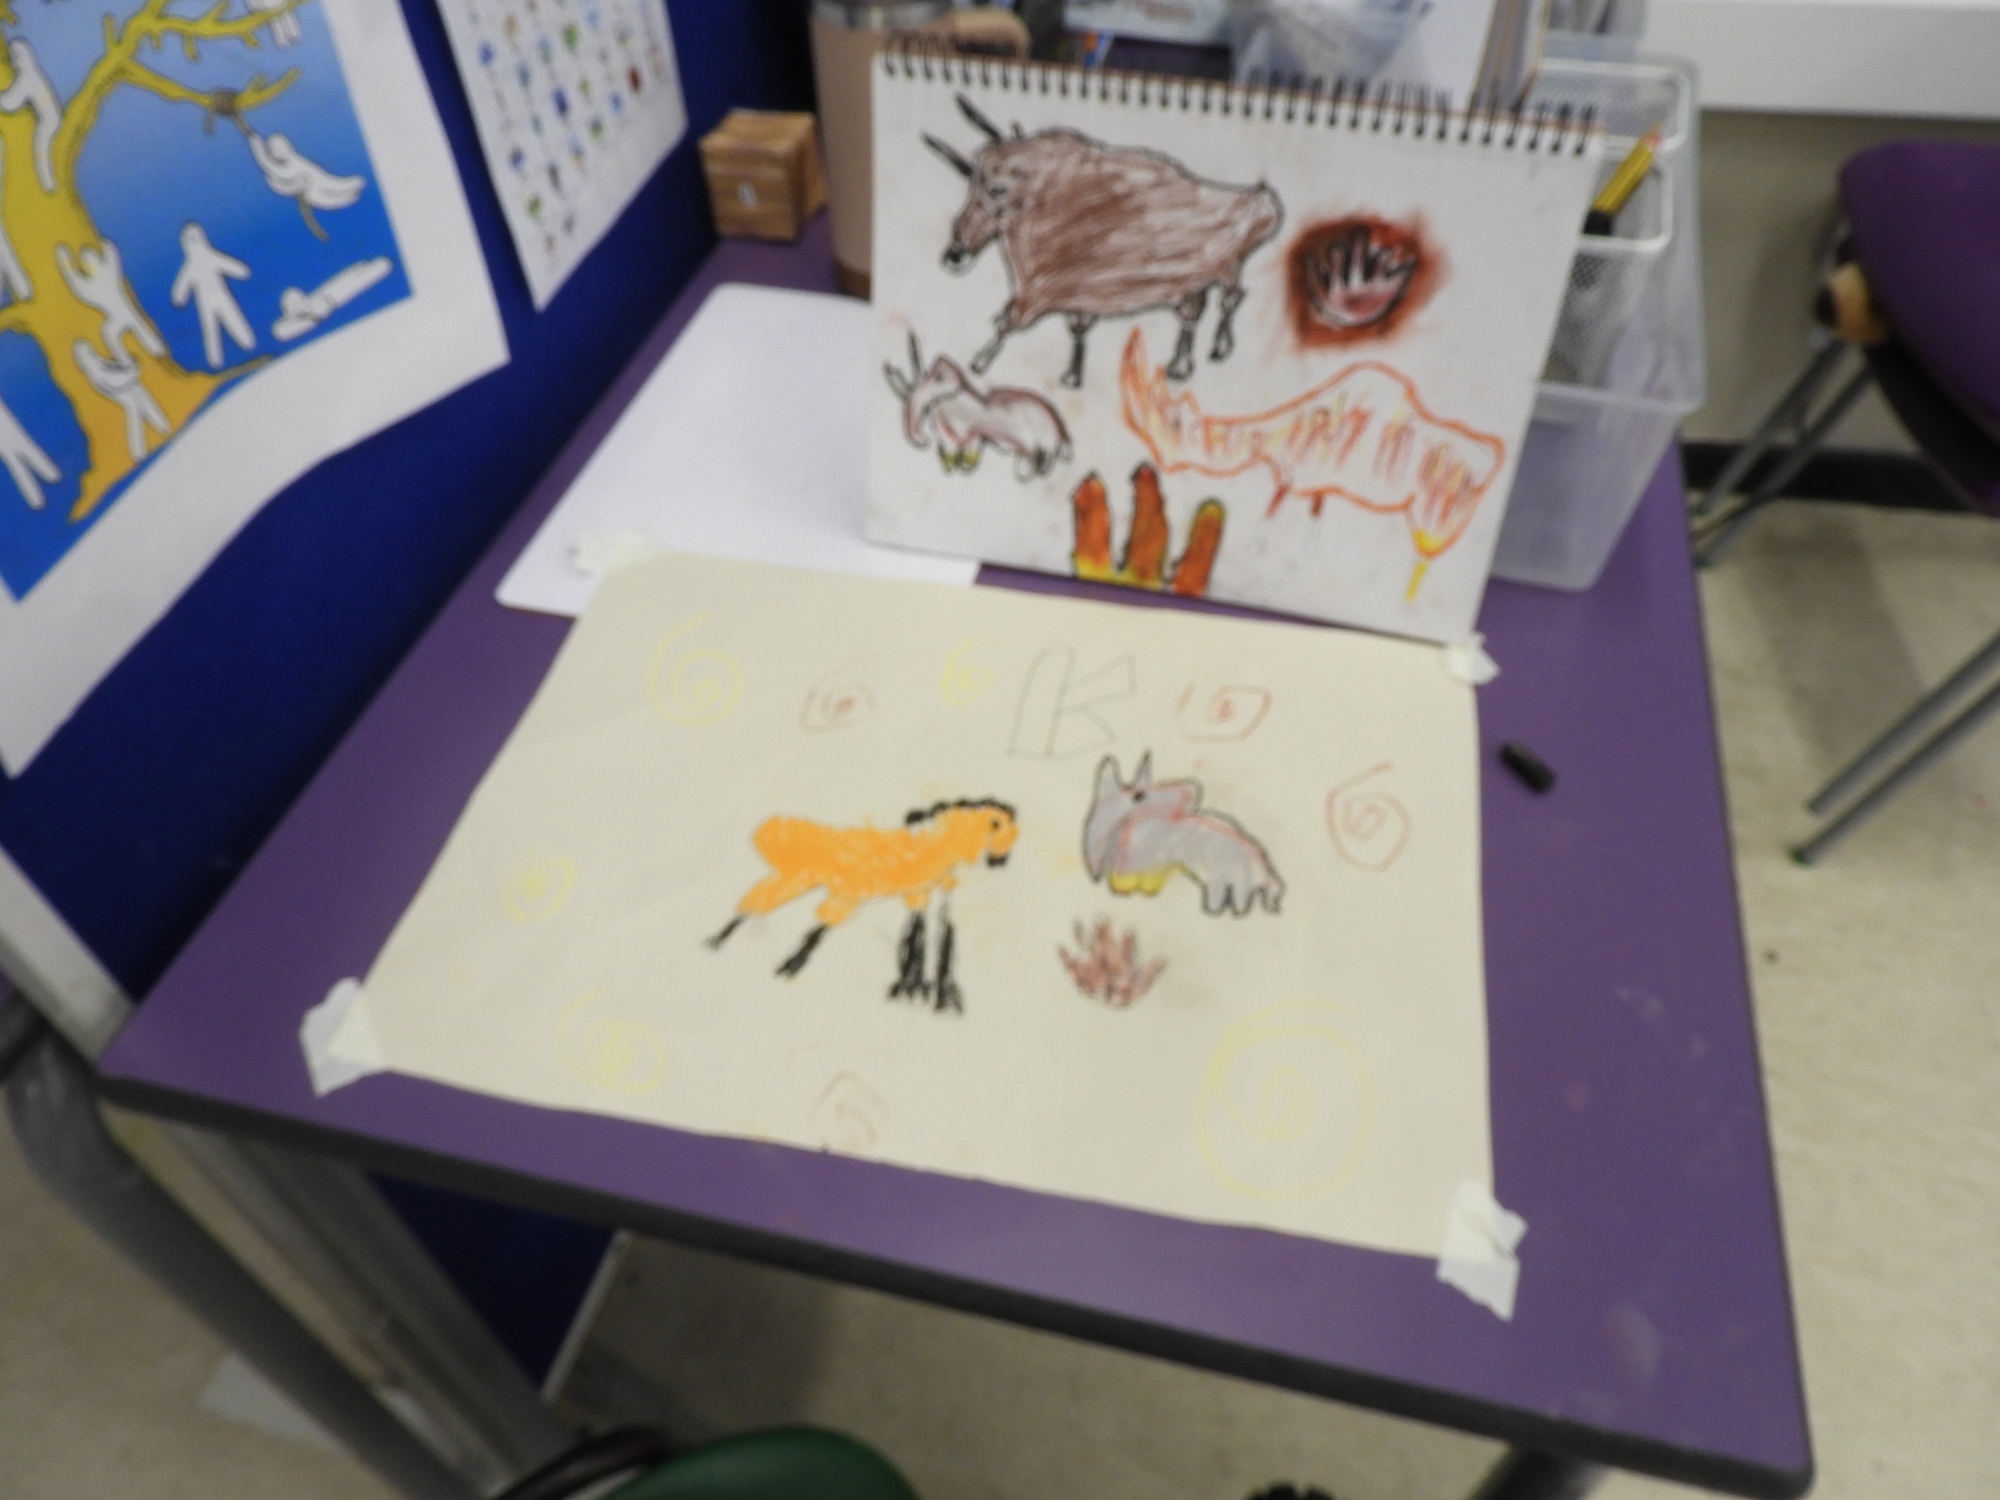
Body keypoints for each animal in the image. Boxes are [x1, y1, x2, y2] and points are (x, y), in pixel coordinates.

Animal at [707, 797, 1018, 1012]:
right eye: (1000, 826)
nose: (1000, 860)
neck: (936, 848)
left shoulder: (921, 894)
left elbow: (920, 937)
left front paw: (917, 990)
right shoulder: (906, 893)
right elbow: (916, 937)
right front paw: (912, 990)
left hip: (804, 882)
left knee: (764, 906)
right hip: (805, 882)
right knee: (758, 904)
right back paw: (725, 944)